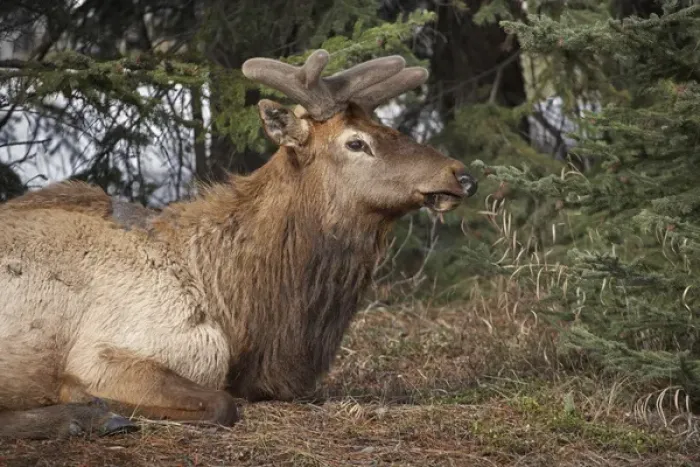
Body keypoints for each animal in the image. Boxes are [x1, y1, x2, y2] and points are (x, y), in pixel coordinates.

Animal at [0, 50, 478, 439]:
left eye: (388, 127)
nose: (462, 174)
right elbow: (221, 402)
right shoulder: (105, 353)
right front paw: (89, 404)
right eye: (356, 142)